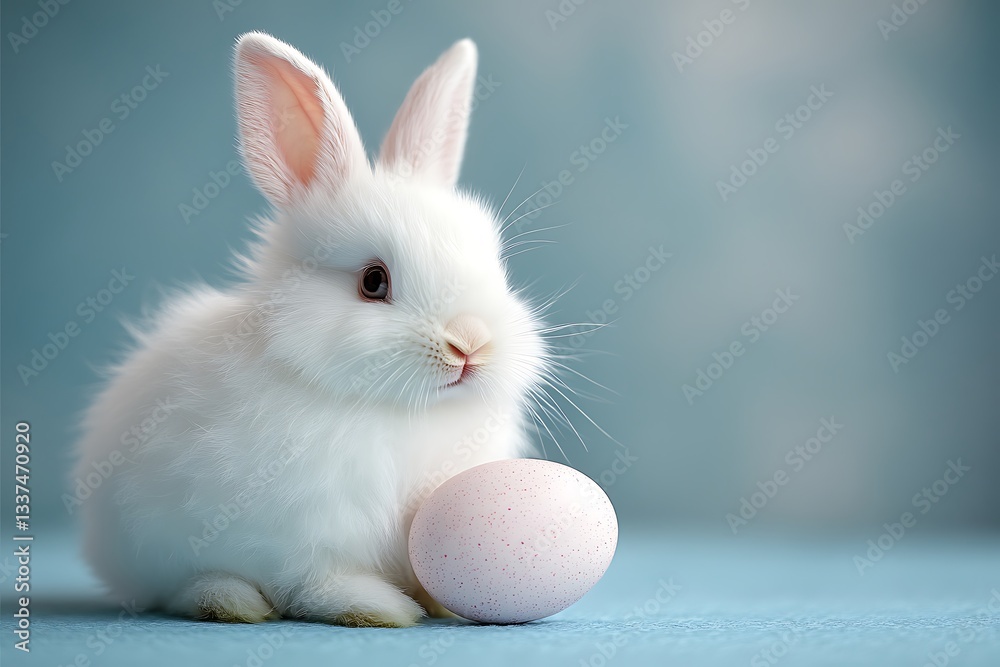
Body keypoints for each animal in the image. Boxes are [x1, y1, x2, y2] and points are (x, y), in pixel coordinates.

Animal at [74, 32, 550, 627]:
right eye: (373, 281)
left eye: (496, 267)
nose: (471, 346)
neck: (398, 410)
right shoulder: (307, 536)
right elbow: (317, 583)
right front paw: (377, 608)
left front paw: (444, 602)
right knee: (183, 588)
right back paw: (229, 601)